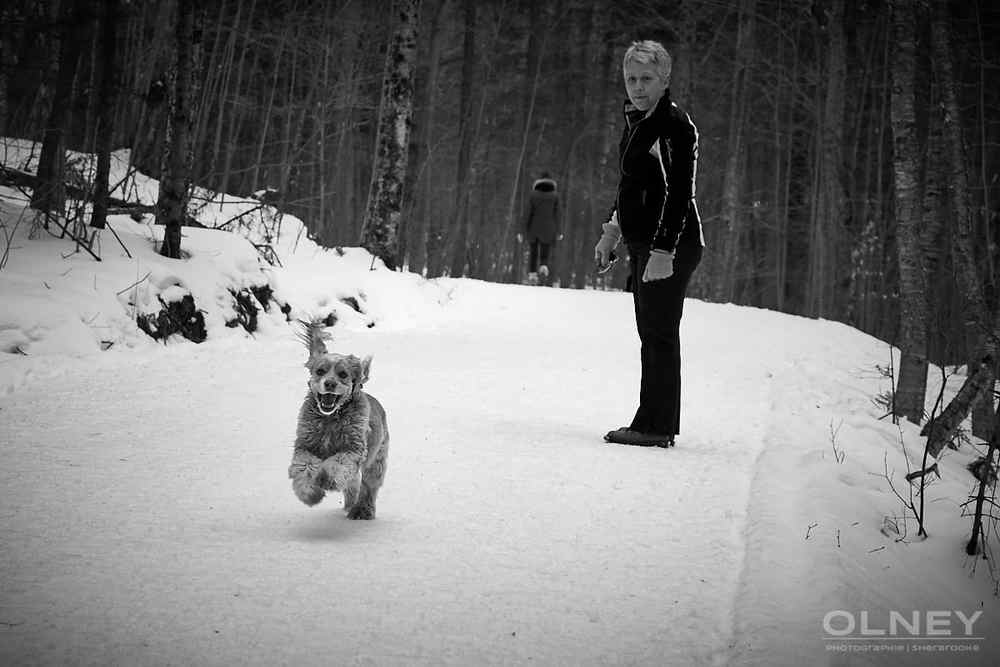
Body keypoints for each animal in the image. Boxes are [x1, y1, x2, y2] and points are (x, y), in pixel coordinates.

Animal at [288, 320, 388, 520]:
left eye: (343, 374)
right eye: (320, 371)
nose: (330, 383)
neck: (330, 419)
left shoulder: (352, 450)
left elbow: (338, 465)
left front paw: (326, 479)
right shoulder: (305, 446)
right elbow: (304, 467)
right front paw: (310, 494)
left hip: (377, 460)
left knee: (368, 486)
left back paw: (362, 511)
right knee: (354, 485)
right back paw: (350, 505)